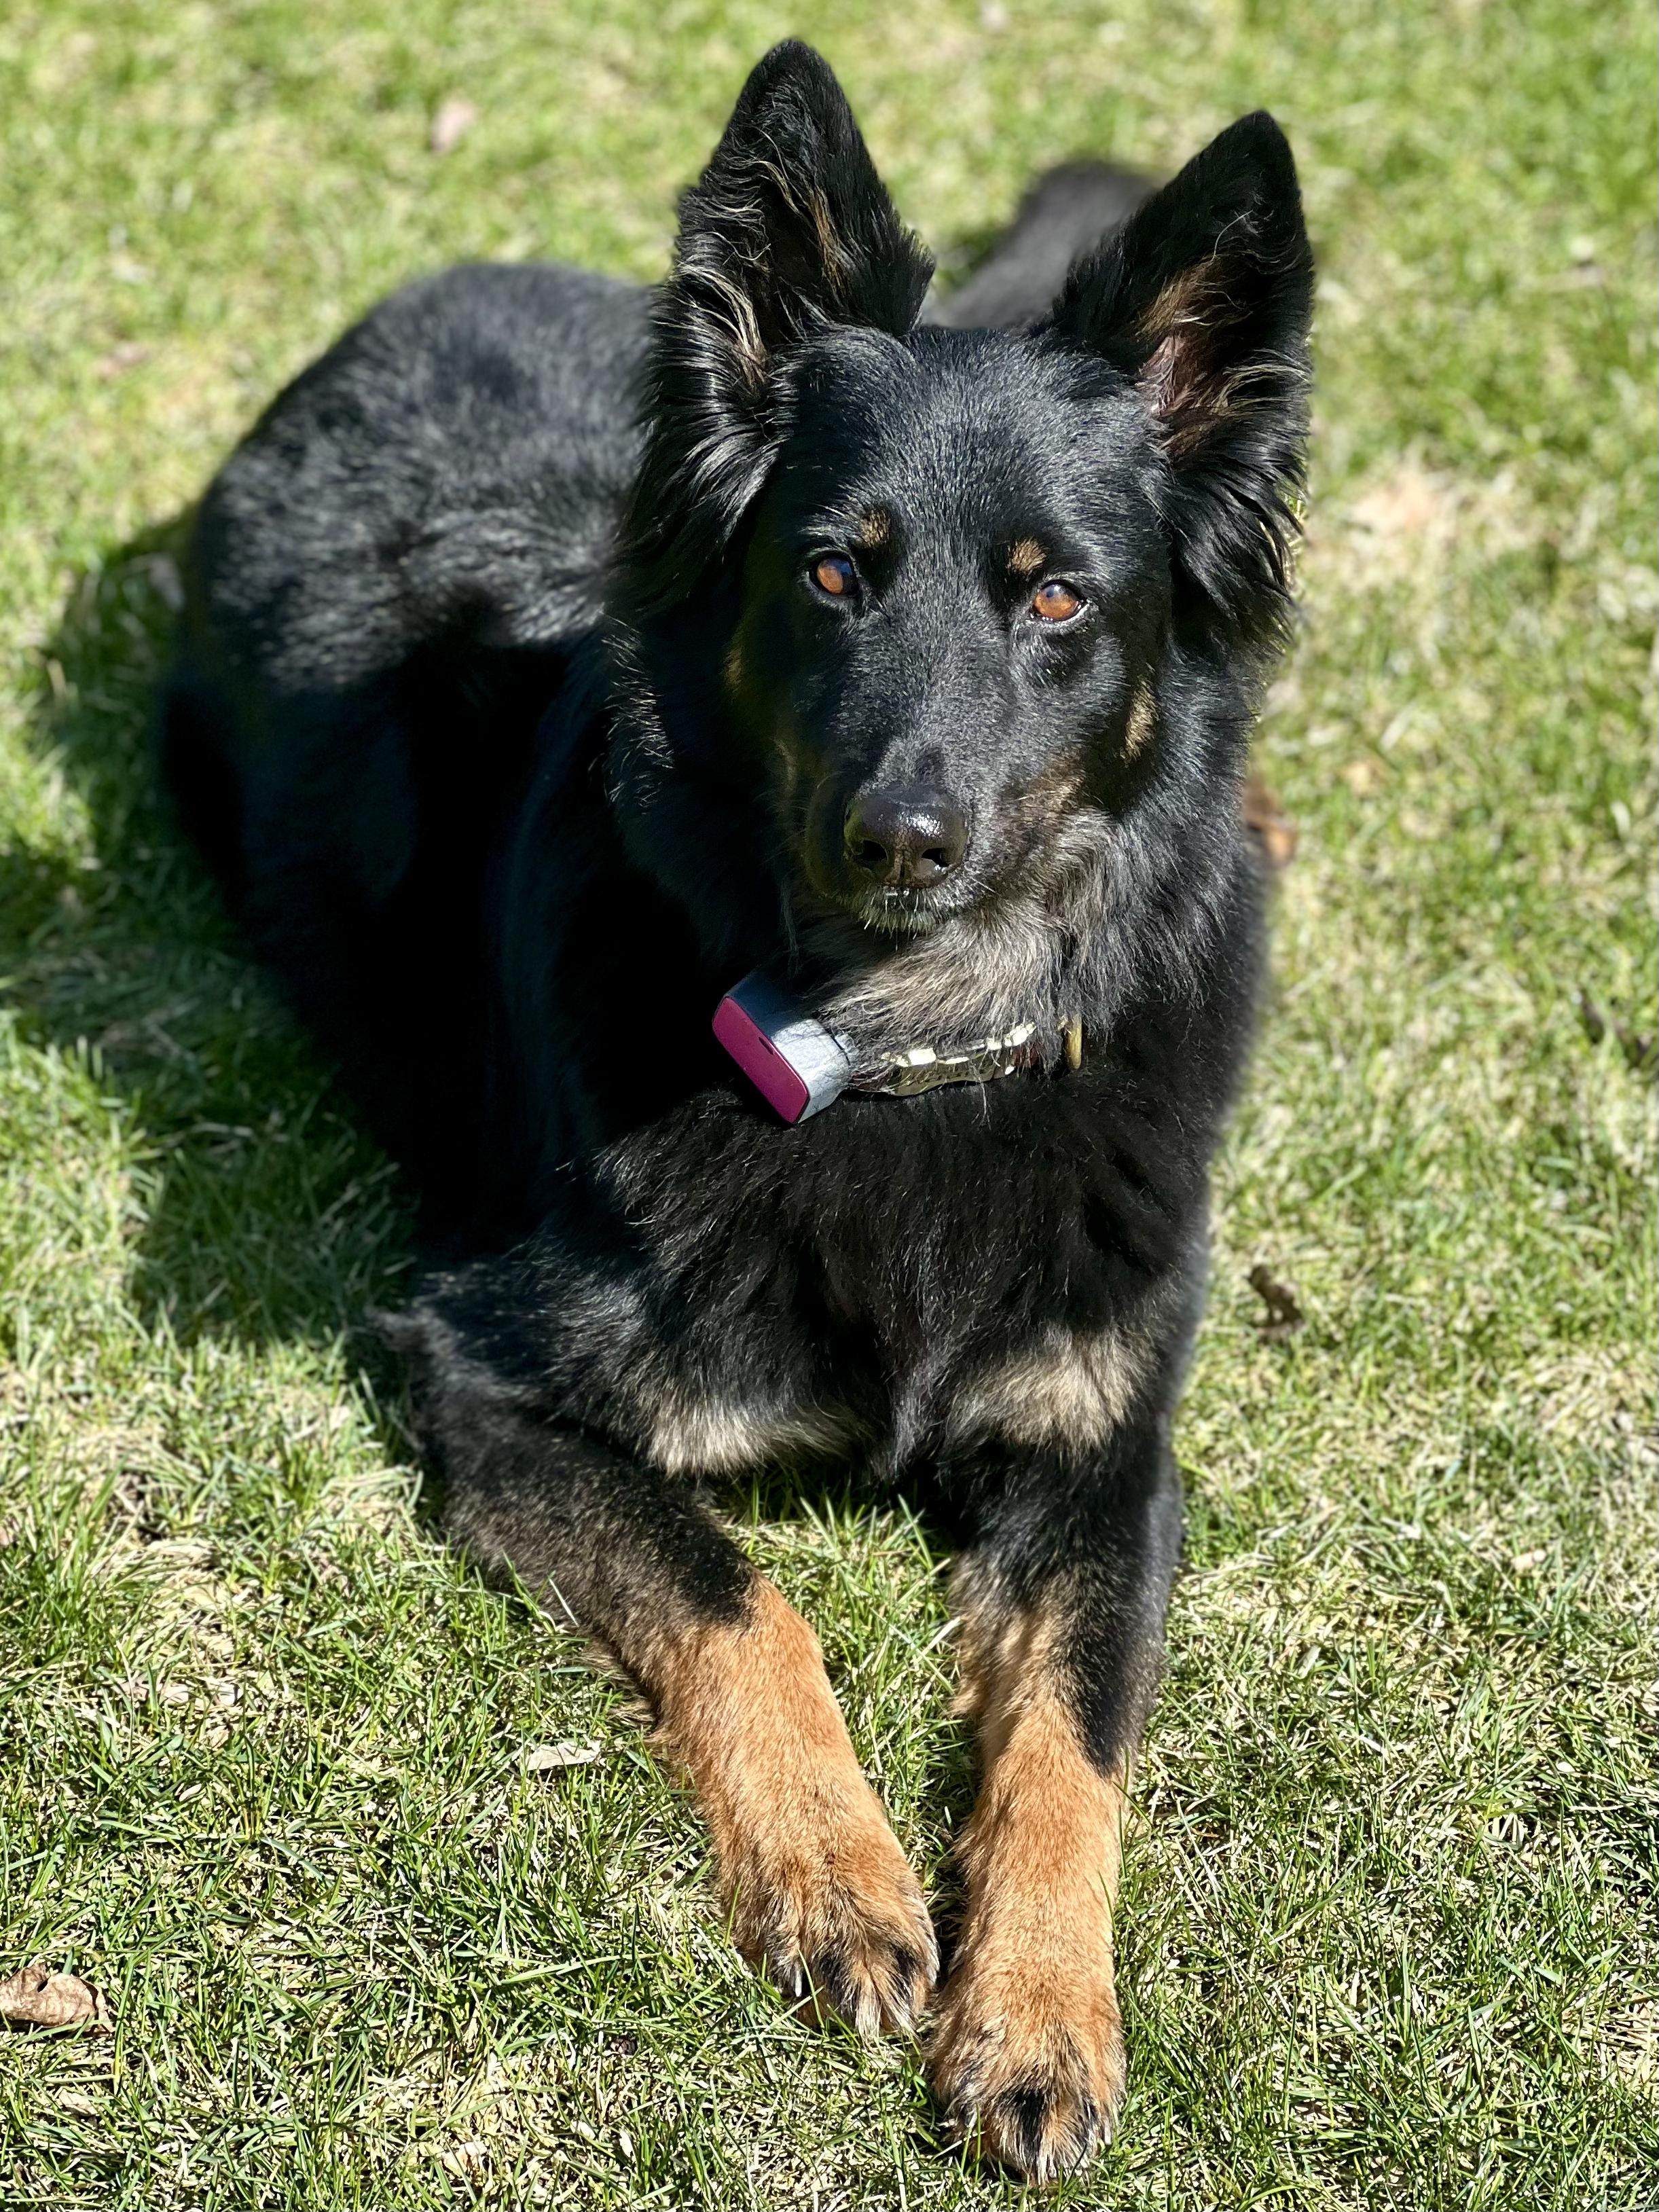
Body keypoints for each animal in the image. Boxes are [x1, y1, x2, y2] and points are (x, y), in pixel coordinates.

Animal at [159, 41, 1313, 2182]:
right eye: (832, 571)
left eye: (1056, 600)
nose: (901, 836)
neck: (906, 1053)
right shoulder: (475, 1364)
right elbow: (742, 1594)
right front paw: (843, 1878)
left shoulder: (1110, 1459)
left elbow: (1073, 1748)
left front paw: (1040, 2009)